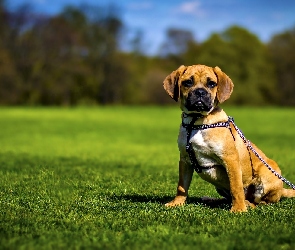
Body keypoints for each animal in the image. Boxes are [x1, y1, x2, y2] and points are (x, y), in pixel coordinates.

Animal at [164, 64, 295, 211]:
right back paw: (213, 200)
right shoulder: (185, 160)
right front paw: (177, 203)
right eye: (188, 82)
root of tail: (282, 190)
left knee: (261, 202)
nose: (200, 92)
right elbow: (182, 186)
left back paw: (247, 204)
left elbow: (236, 187)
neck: (197, 121)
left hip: (268, 174)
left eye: (211, 83)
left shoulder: (230, 159)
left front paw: (238, 209)